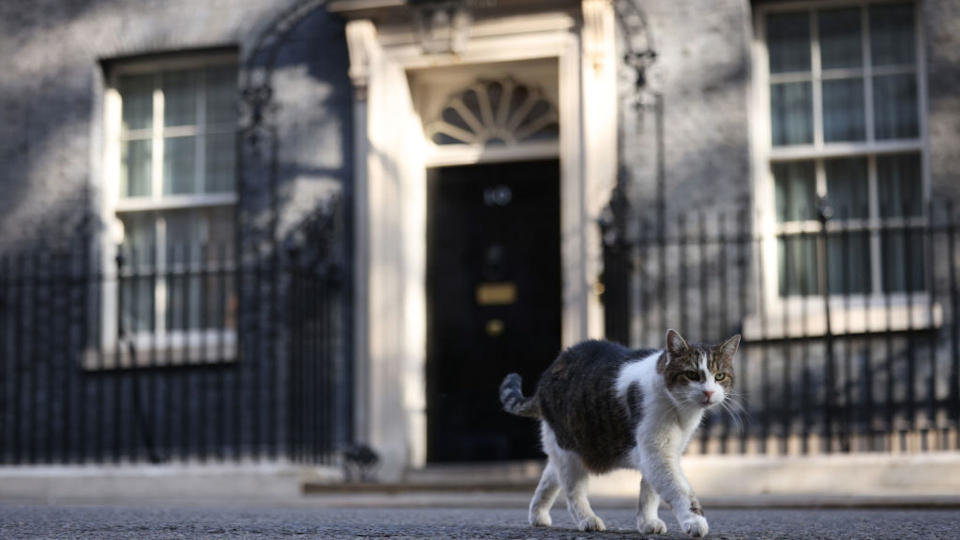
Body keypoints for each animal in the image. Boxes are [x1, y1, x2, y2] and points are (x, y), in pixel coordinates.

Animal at [498, 330, 740, 536]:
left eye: (720, 376)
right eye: (692, 374)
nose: (709, 392)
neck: (680, 410)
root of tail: (548, 374)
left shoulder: (662, 451)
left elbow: (649, 492)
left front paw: (647, 522)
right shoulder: (656, 452)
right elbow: (678, 489)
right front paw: (694, 521)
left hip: (566, 447)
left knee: (549, 476)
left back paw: (537, 515)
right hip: (570, 450)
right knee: (572, 491)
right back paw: (588, 520)